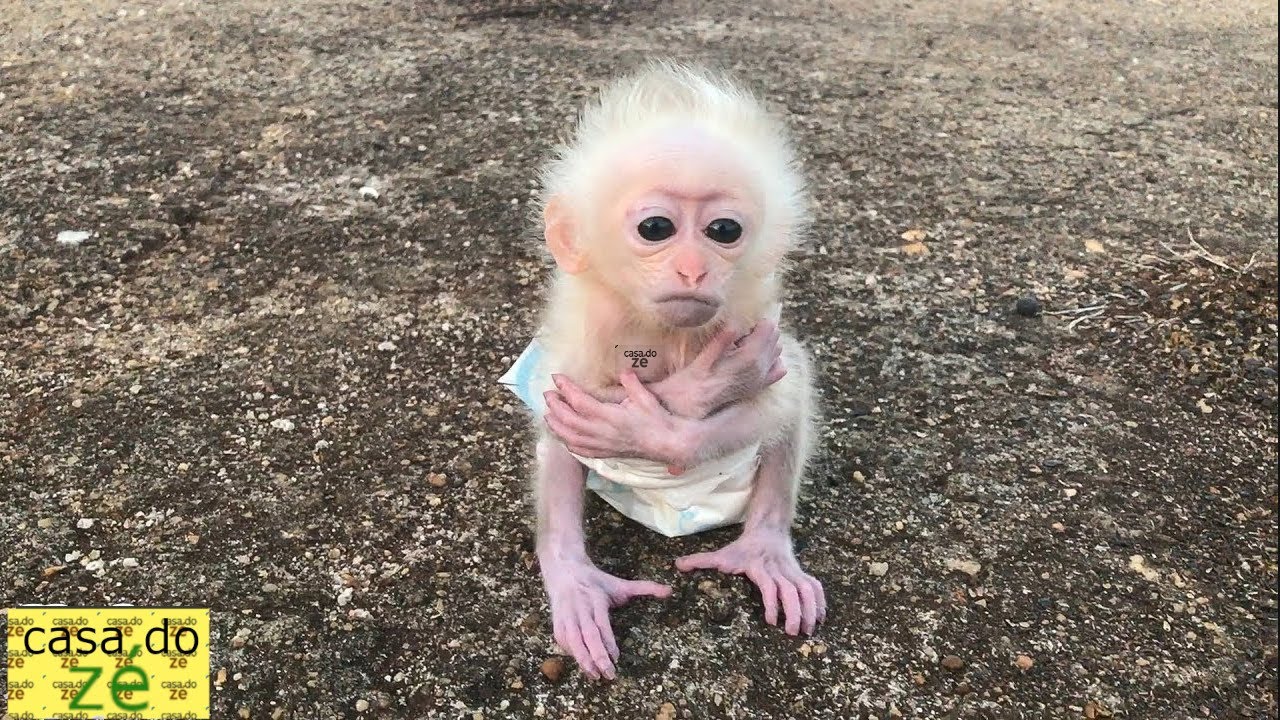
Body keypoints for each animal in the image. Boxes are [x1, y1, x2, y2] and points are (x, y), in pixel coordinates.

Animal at [501, 62, 823, 680]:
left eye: (723, 231)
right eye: (656, 228)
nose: (694, 269)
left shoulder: (750, 310)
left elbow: (780, 393)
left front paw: (663, 419)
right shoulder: (588, 326)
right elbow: (562, 412)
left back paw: (764, 547)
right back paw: (575, 579)